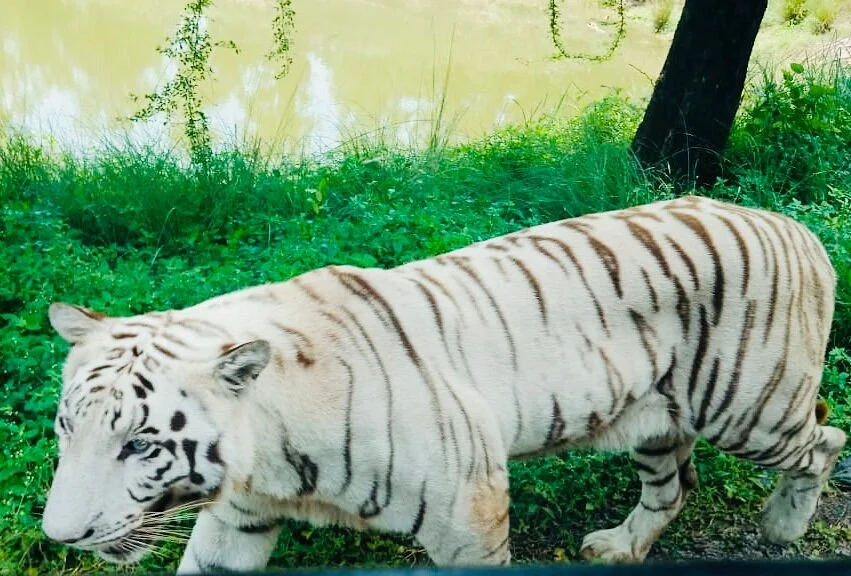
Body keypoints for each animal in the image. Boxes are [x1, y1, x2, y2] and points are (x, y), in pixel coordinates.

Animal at [42, 195, 847, 572]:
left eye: (141, 445)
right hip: (653, 420)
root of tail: (796, 227)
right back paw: (620, 546)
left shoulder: (470, 509)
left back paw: (783, 523)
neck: (267, 456)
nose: (60, 537)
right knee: (670, 488)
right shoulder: (238, 517)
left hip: (749, 407)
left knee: (826, 438)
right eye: (67, 429)